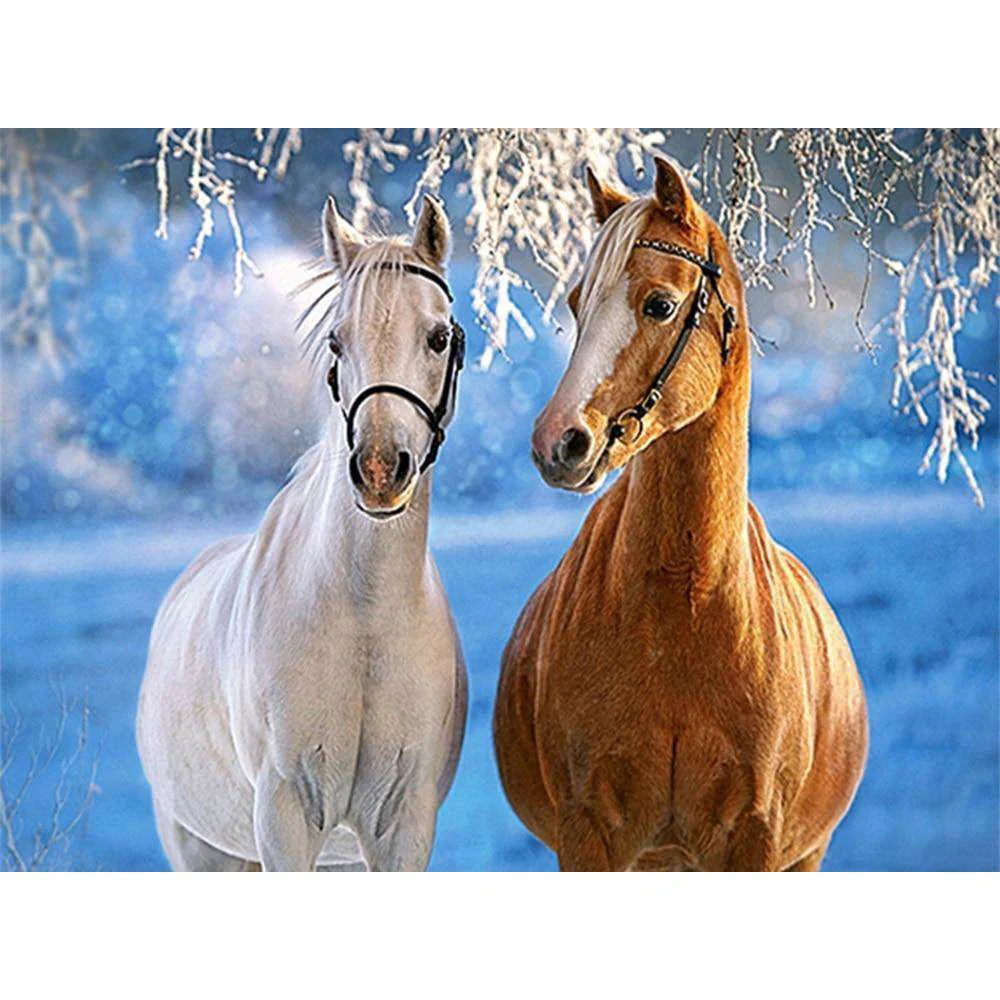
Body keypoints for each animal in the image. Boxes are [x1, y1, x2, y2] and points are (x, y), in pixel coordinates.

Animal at [137, 195, 468, 871]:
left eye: (438, 337)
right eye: (338, 340)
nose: (379, 470)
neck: (364, 619)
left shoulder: (404, 824)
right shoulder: (286, 816)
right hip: (201, 850)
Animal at [493, 157, 868, 871]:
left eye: (659, 305)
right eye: (577, 303)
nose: (559, 443)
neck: (683, 609)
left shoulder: (756, 838)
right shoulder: (588, 836)